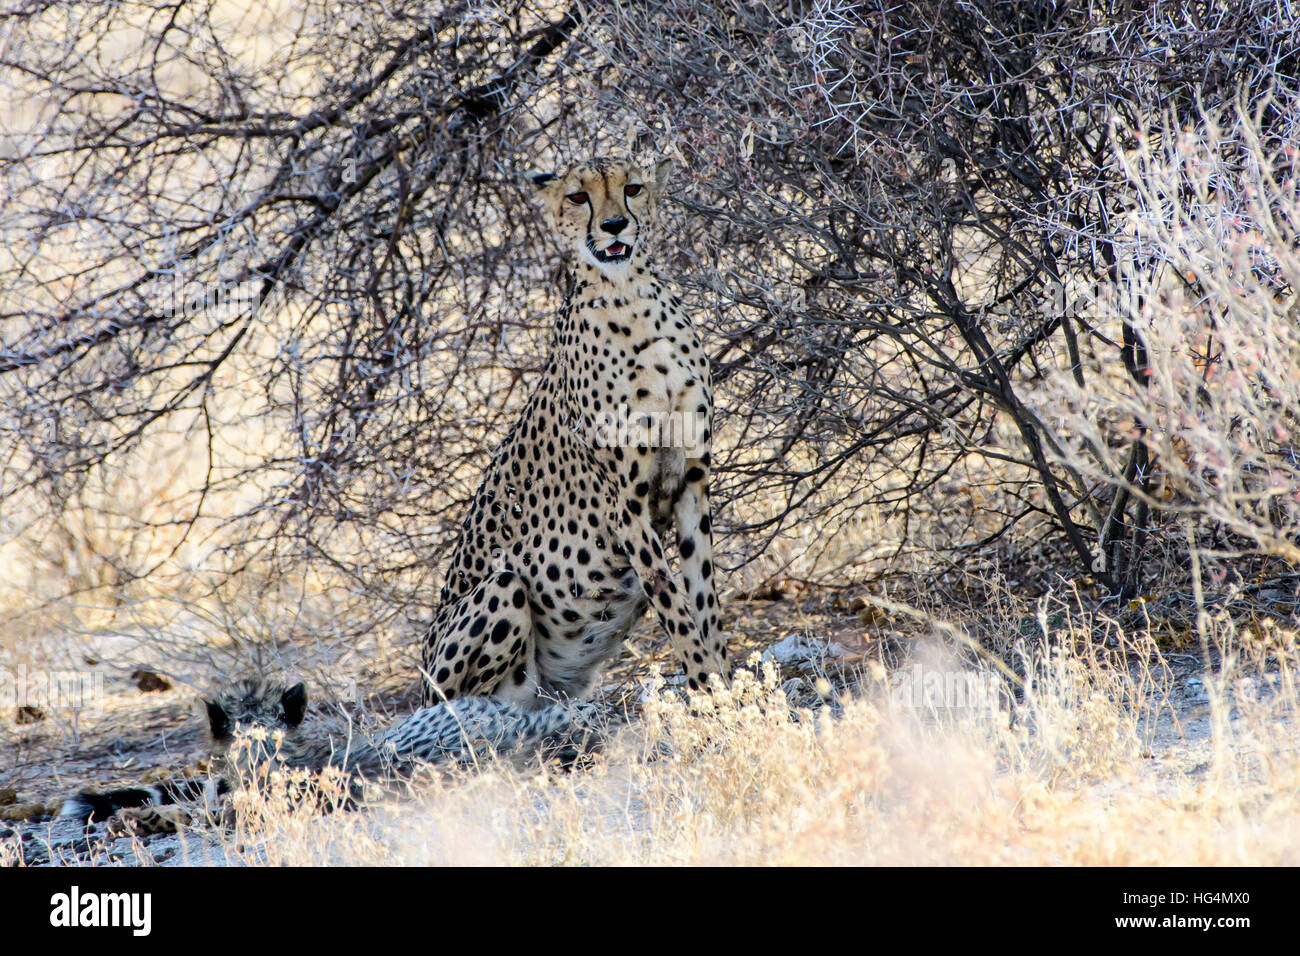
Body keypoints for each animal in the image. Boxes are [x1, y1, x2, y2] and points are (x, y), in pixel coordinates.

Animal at [426, 157, 733, 712]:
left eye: (632, 188)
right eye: (577, 197)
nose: (614, 225)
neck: (630, 296)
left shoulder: (692, 484)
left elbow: (705, 600)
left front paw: (735, 691)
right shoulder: (626, 504)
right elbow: (673, 604)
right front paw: (707, 694)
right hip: (500, 592)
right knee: (470, 704)